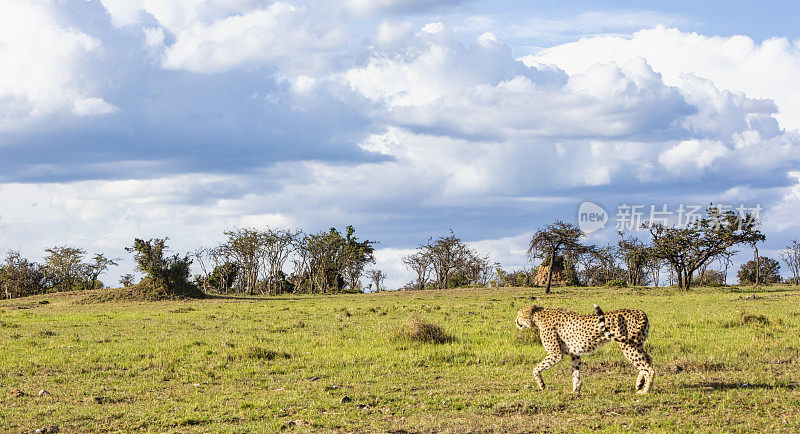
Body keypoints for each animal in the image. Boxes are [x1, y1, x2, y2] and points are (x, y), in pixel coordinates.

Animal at [516, 306, 652, 394]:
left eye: (519, 314)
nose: (515, 321)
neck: (538, 316)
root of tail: (637, 311)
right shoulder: (574, 354)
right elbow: (576, 374)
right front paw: (575, 392)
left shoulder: (555, 354)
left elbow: (536, 368)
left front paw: (541, 384)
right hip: (636, 343)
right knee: (648, 359)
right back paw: (640, 383)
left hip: (627, 345)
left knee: (648, 368)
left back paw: (645, 391)